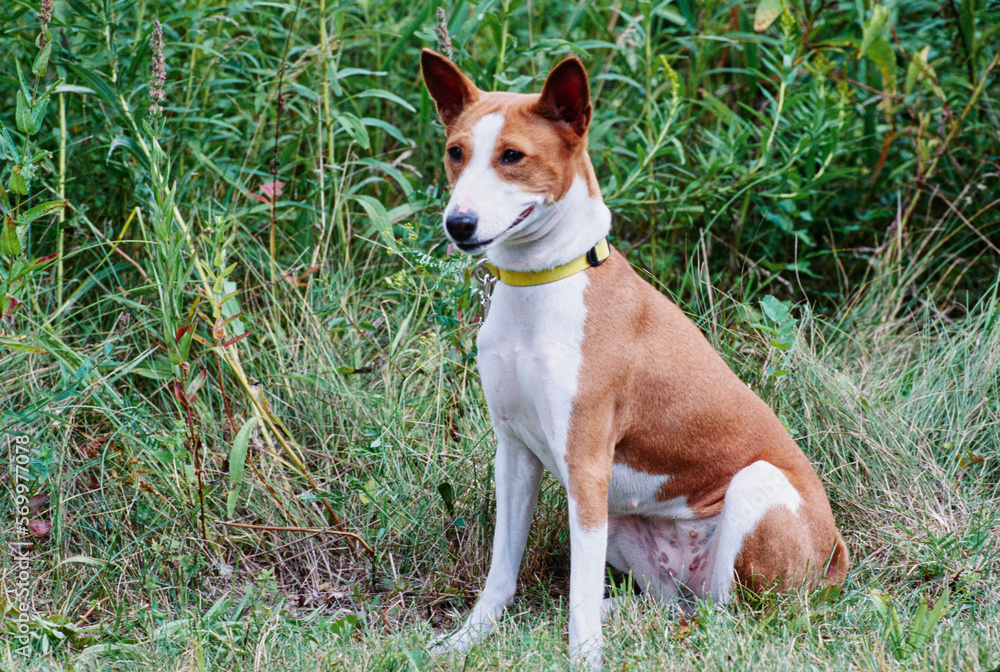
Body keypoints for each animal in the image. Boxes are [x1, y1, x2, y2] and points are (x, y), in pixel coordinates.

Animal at [422, 50, 852, 668]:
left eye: (512, 157)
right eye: (456, 152)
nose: (459, 224)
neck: (540, 285)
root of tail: (836, 554)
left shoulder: (586, 464)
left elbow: (578, 593)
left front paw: (583, 658)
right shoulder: (515, 452)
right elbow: (501, 573)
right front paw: (465, 639)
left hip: (752, 491)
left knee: (728, 620)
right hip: (626, 524)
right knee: (672, 606)